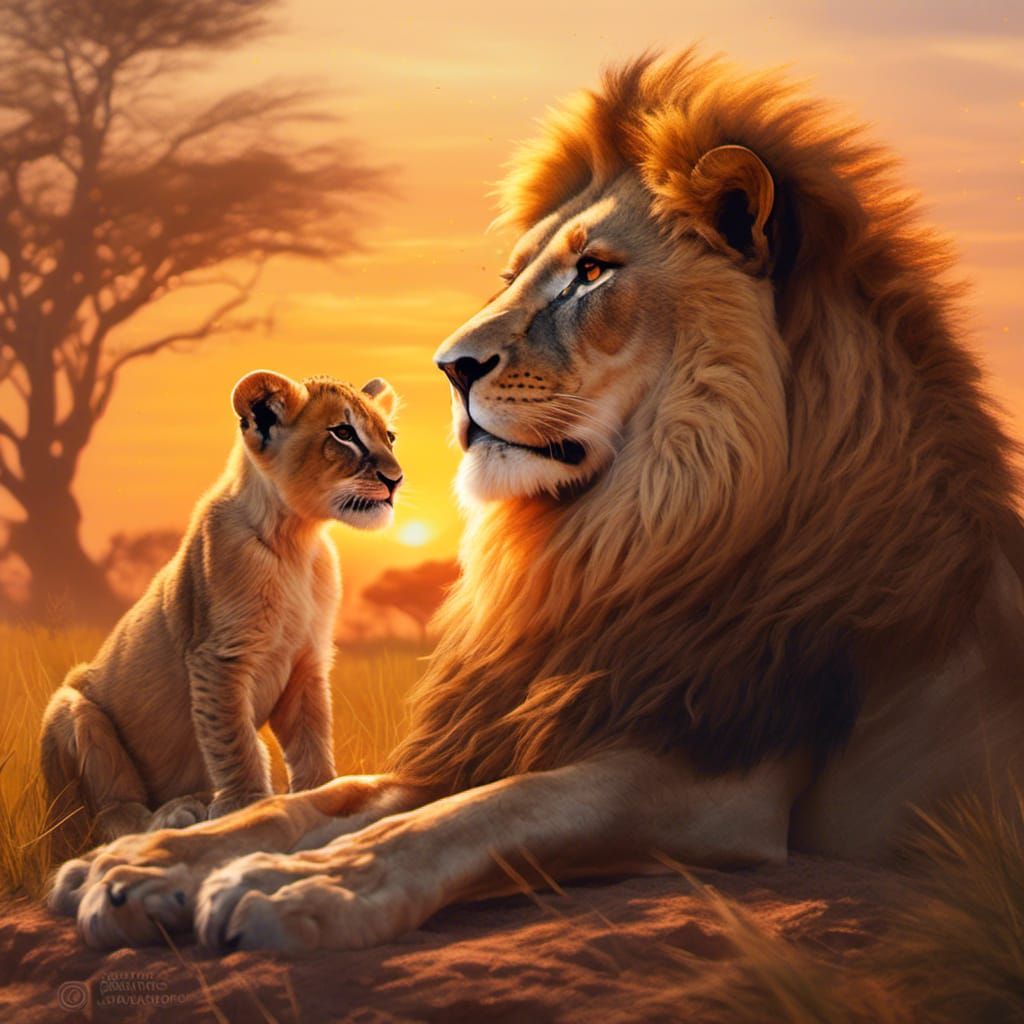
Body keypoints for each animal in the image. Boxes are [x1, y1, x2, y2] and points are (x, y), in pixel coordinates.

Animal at [40, 370, 402, 854]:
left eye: (389, 436)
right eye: (343, 433)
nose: (396, 479)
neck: (296, 541)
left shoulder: (306, 662)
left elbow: (312, 739)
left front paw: (325, 795)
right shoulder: (220, 656)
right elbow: (236, 741)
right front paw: (246, 808)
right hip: (72, 711)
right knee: (111, 815)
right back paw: (177, 813)